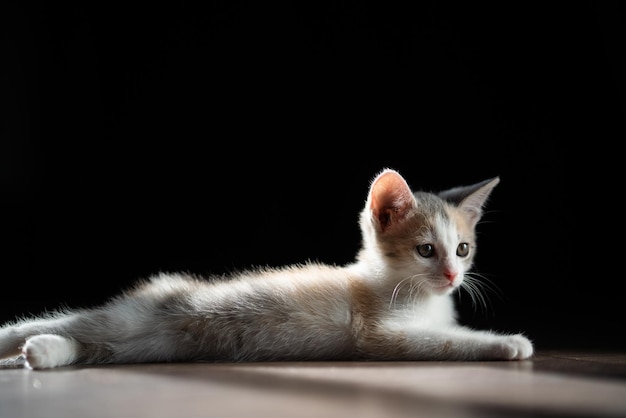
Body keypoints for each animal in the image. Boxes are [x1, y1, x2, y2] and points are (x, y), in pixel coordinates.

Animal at [0, 167, 532, 370]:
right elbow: (444, 341)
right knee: (63, 324)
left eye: (462, 249)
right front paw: (508, 343)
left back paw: (40, 353)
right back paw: (24, 344)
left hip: (147, 345)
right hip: (130, 318)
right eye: (425, 251)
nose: (452, 277)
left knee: (90, 347)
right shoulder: (378, 333)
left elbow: (446, 333)